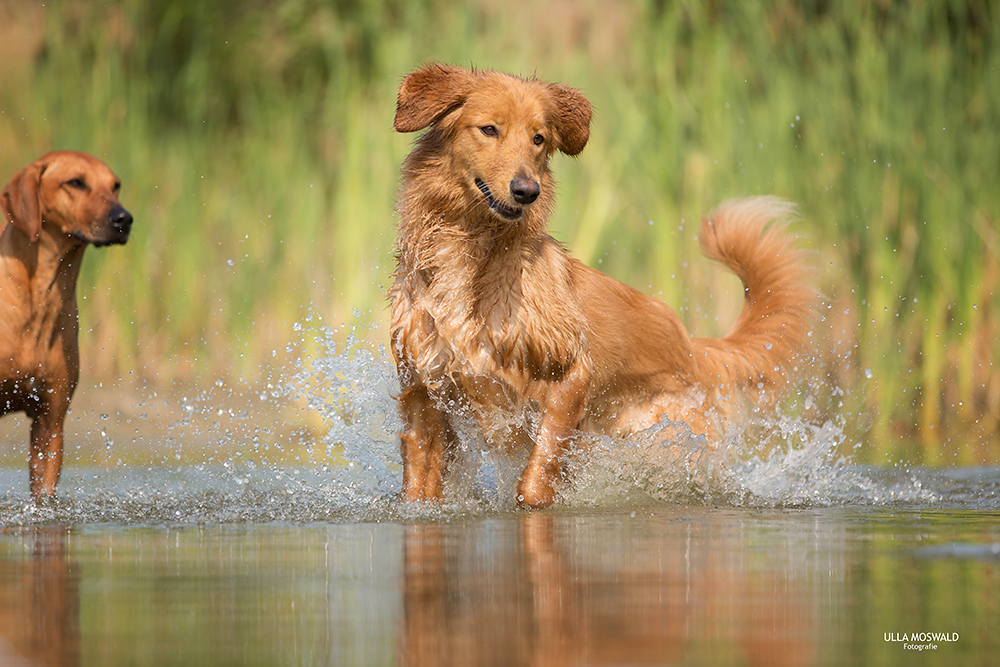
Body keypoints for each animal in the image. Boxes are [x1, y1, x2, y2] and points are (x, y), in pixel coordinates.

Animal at [386, 65, 816, 508]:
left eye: (538, 139)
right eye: (489, 129)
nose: (527, 191)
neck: (471, 255)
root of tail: (691, 348)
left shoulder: (573, 373)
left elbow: (538, 474)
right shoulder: (423, 393)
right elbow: (418, 483)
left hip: (665, 440)